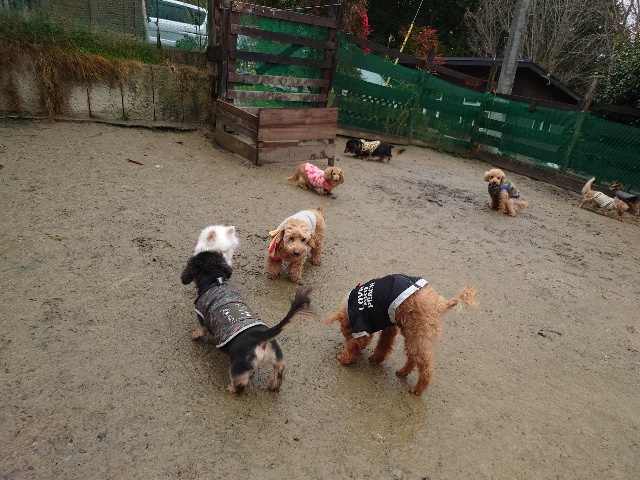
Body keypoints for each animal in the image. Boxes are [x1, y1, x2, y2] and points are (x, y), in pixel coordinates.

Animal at [182, 225, 313, 394]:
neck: (215, 281)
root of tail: (261, 337)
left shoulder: (202, 318)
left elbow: (200, 330)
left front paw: (194, 336)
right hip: (277, 359)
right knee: (279, 371)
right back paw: (273, 385)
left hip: (239, 366)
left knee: (241, 383)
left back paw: (231, 388)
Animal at [324, 274, 478, 396]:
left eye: (347, 335)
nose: (347, 337)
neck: (350, 309)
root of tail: (440, 305)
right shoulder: (388, 325)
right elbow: (384, 344)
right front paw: (376, 358)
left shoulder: (362, 325)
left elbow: (356, 344)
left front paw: (343, 358)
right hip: (412, 335)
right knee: (413, 358)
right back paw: (403, 372)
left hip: (417, 335)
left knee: (425, 367)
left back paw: (417, 388)